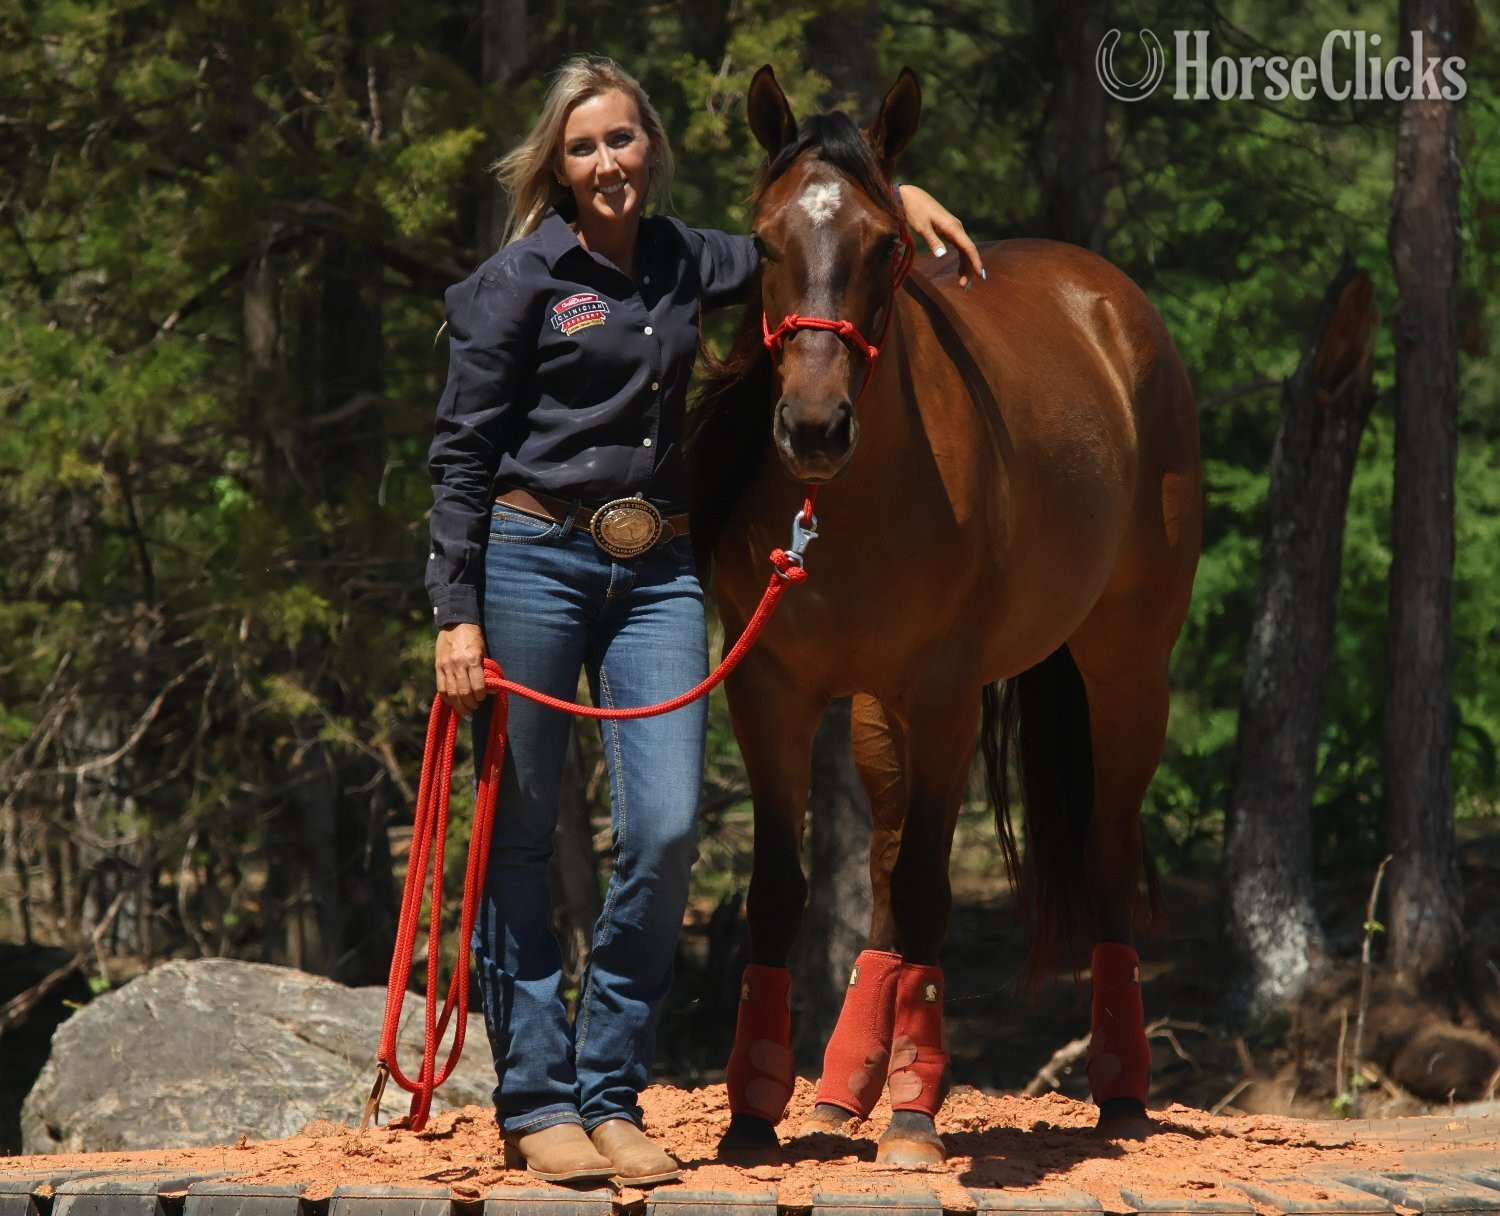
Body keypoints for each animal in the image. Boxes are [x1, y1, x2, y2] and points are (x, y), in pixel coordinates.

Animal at [684, 66, 1202, 1166]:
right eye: (761, 241)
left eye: (887, 246)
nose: (814, 428)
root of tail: (1109, 303)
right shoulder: (771, 692)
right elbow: (782, 890)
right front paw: (755, 1108)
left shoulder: (948, 692)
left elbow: (930, 889)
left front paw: (918, 1115)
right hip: (880, 715)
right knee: (880, 876)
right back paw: (841, 1091)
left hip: (1126, 671)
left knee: (1101, 850)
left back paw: (1121, 1090)